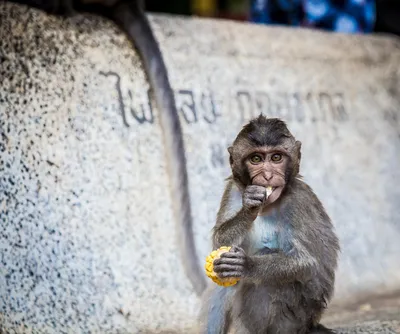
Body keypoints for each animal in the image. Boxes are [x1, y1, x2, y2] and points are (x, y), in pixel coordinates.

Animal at [202, 115, 340, 334]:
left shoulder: (297, 200)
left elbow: (305, 261)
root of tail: (311, 323)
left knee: (268, 282)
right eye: (256, 159)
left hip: (295, 318)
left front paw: (246, 264)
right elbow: (219, 241)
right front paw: (249, 206)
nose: (267, 176)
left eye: (276, 158)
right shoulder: (233, 188)